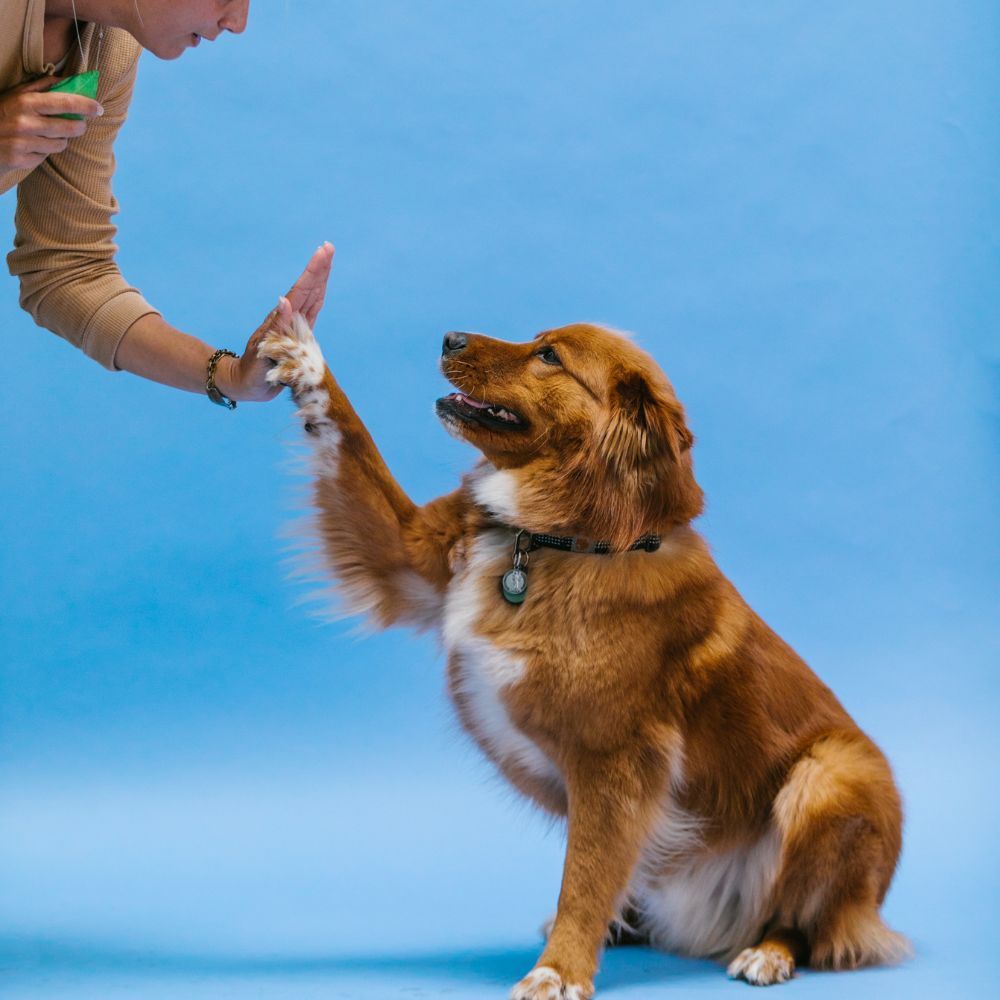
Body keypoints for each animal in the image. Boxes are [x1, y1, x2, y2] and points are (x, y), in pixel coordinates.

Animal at [260, 318, 916, 992]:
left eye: (549, 356)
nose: (448, 337)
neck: (558, 541)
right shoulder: (407, 552)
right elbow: (351, 435)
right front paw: (303, 356)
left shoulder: (616, 761)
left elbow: (584, 876)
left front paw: (559, 971)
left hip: (831, 774)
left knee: (809, 918)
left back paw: (768, 952)